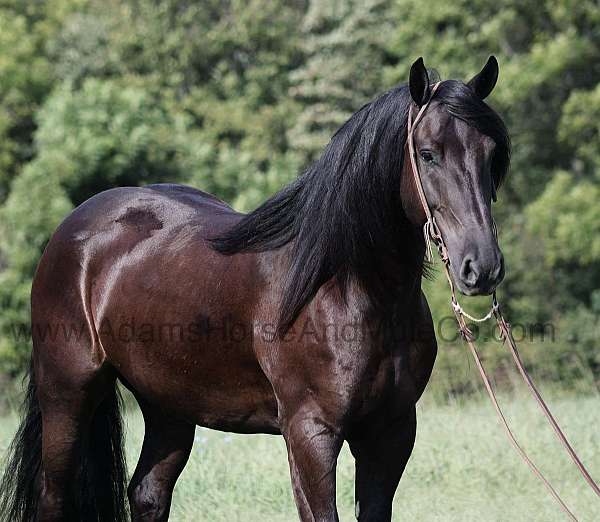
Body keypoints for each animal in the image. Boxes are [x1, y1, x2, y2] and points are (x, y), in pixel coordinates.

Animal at [0, 57, 508, 520]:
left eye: (490, 154)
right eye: (427, 153)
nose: (481, 266)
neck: (349, 290)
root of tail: (75, 228)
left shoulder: (391, 433)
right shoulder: (310, 434)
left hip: (168, 406)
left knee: (148, 493)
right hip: (67, 394)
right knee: (53, 494)